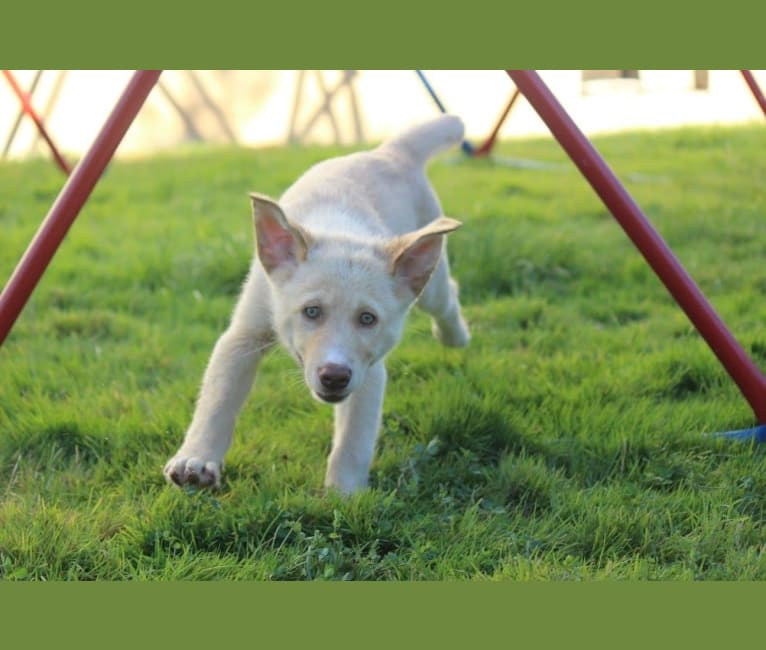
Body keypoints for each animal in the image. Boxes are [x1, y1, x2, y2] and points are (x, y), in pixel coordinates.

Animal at [165, 115, 472, 492]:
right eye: (311, 312)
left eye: (368, 319)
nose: (334, 377)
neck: (338, 229)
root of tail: (390, 152)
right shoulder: (244, 335)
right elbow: (217, 400)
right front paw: (196, 460)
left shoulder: (368, 370)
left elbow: (354, 438)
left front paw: (345, 494)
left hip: (431, 287)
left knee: (447, 298)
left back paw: (455, 336)